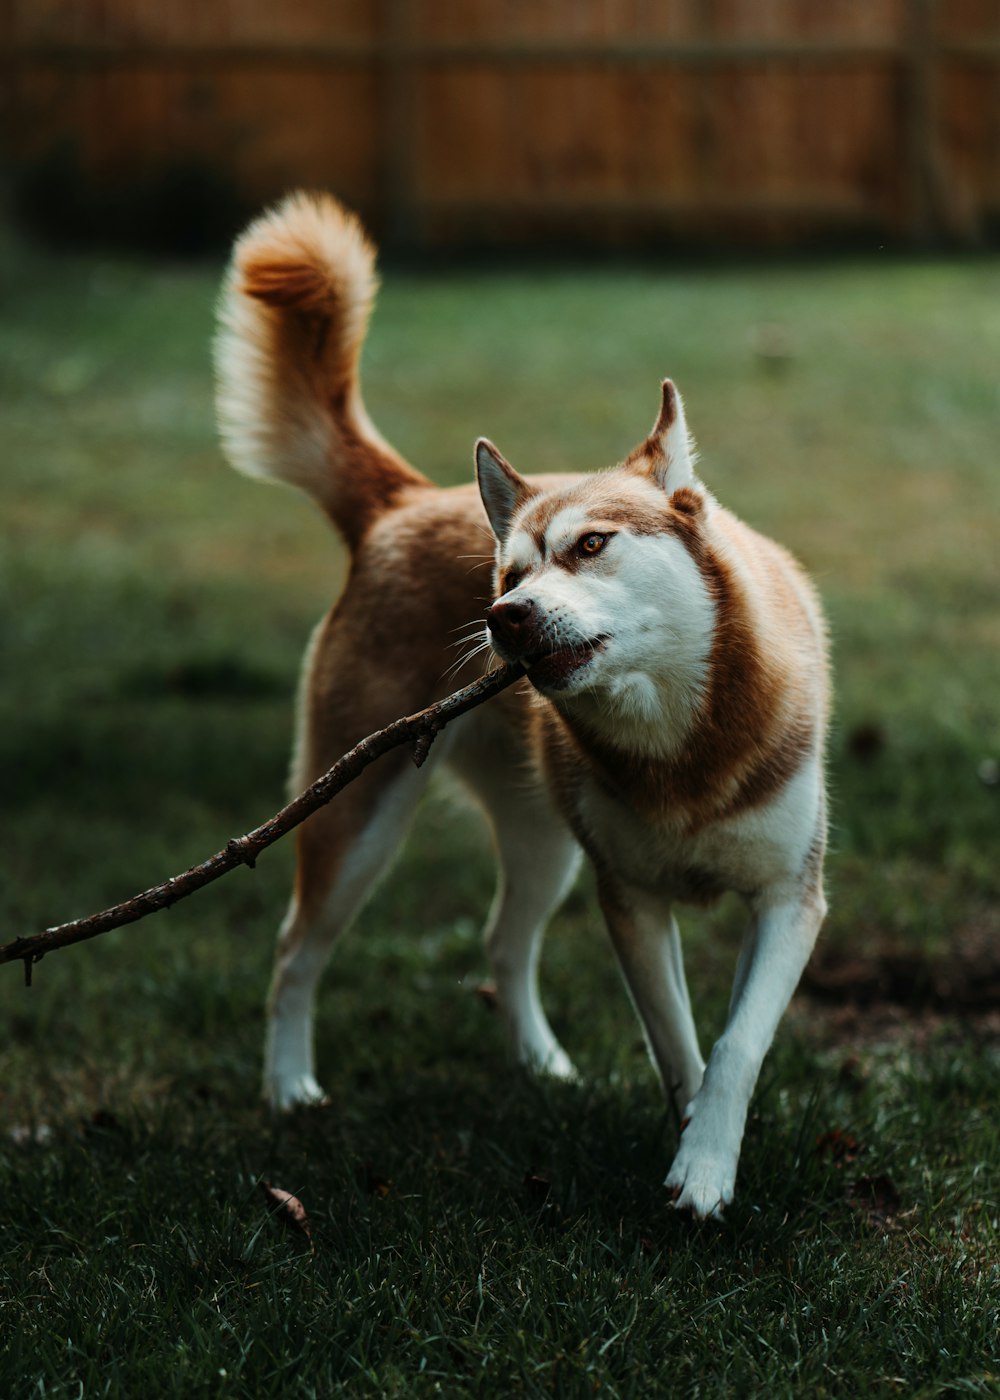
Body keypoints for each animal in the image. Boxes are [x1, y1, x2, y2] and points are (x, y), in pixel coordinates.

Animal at [214, 191, 829, 1220]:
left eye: (591, 546)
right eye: (509, 573)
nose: (504, 618)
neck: (682, 747)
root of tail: (404, 500)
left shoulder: (789, 898)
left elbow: (737, 1043)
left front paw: (706, 1164)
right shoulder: (631, 900)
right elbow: (678, 1043)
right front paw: (692, 1144)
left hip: (544, 840)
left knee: (504, 944)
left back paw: (541, 1068)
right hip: (357, 820)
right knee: (296, 948)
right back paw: (290, 1087)